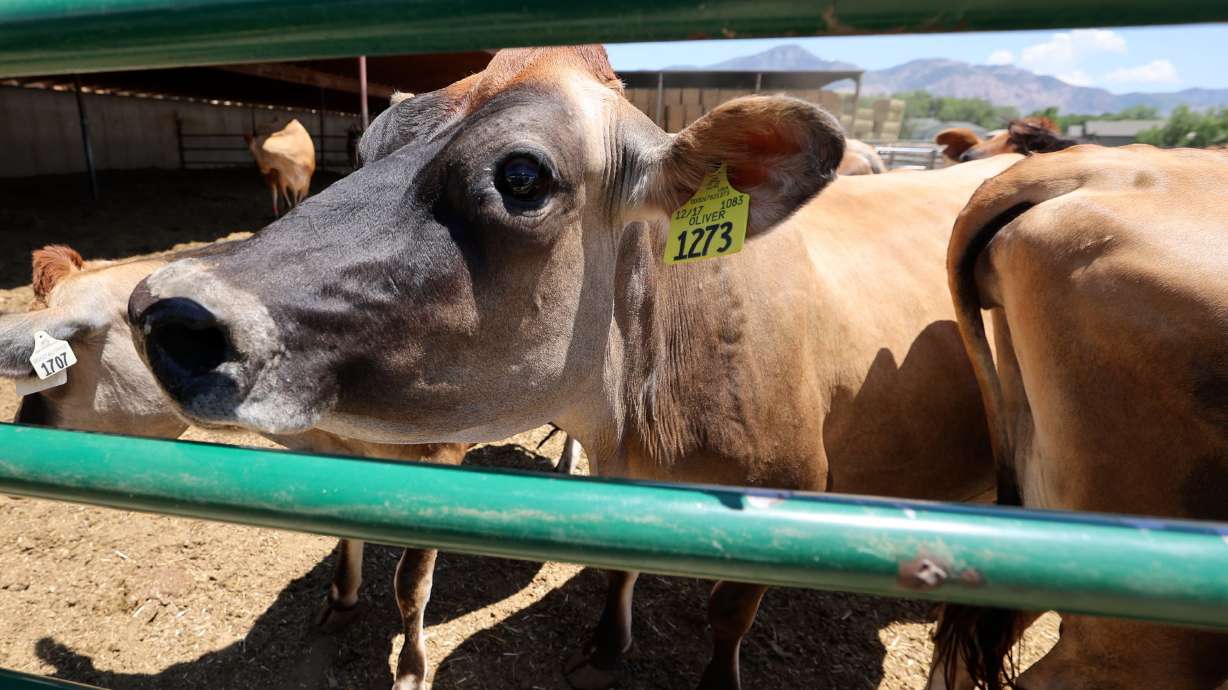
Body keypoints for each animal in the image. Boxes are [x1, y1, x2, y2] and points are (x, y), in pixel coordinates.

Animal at [0, 243, 578, 690]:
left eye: (49, 374)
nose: (25, 430)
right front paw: (341, 601)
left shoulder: (441, 456)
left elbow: (411, 584)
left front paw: (411, 670)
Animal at [126, 46, 1013, 689]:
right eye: (368, 145)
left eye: (521, 176)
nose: (165, 311)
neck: (640, 412)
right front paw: (608, 641)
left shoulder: (788, 498)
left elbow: (728, 620)